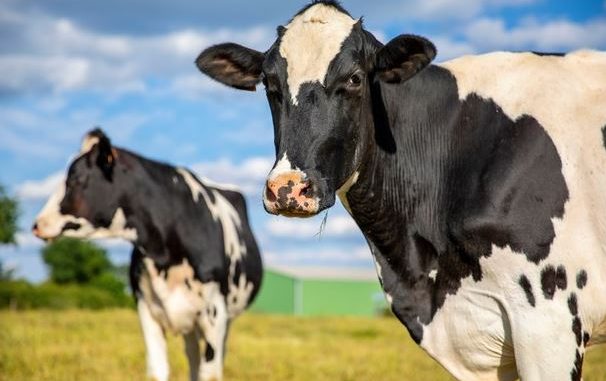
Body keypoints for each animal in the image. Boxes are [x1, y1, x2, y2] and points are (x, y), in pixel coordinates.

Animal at [32, 128, 262, 380]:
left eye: (75, 179)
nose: (36, 224)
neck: (165, 251)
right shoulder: (146, 309)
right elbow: (157, 370)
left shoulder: (215, 314)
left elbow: (210, 372)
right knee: (192, 354)